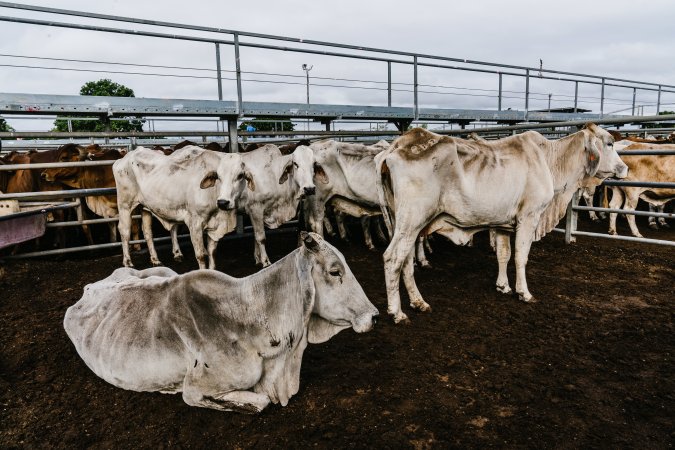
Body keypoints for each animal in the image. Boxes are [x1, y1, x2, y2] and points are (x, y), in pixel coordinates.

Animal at [115, 146, 255, 268]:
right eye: (218, 177)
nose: (223, 202)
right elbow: (201, 255)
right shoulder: (195, 223)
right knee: (124, 230)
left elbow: (212, 253)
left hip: (145, 207)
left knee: (148, 231)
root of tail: (124, 158)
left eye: (240, 176)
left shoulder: (214, 226)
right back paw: (127, 261)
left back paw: (155, 259)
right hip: (125, 205)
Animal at [374, 123, 628, 324]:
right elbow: (520, 256)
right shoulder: (529, 217)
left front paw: (503, 286)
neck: (548, 159)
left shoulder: (502, 223)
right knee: (392, 258)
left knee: (406, 261)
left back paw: (418, 302)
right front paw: (523, 292)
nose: (624, 167)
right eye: (609, 143)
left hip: (405, 223)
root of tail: (397, 146)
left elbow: (503, 254)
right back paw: (397, 313)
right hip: (412, 220)